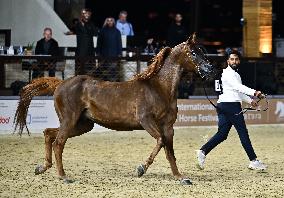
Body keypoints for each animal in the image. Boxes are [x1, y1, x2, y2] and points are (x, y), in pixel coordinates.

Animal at [13, 33, 215, 184]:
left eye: (202, 51)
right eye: (193, 53)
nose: (210, 70)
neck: (159, 88)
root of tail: (61, 83)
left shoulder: (168, 127)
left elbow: (169, 151)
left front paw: (181, 177)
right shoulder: (146, 120)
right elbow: (160, 141)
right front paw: (141, 168)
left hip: (83, 125)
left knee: (48, 133)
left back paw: (42, 168)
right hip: (70, 120)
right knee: (58, 143)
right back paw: (63, 176)